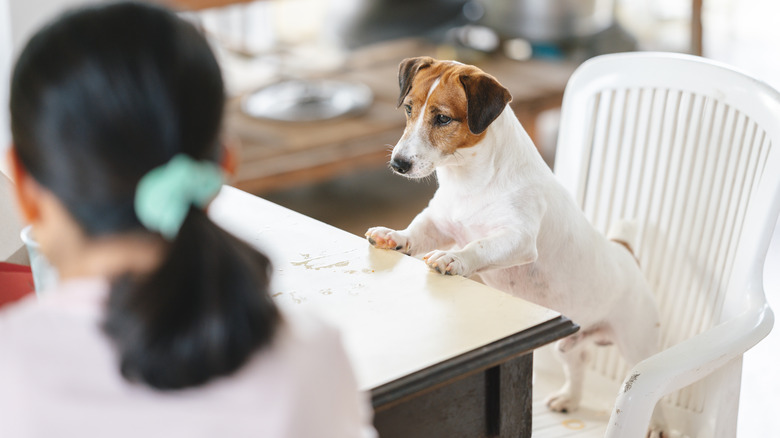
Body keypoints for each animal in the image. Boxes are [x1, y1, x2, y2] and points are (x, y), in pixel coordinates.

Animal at [368, 56, 660, 432]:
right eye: (408, 108)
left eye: (443, 118)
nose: (398, 164)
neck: (469, 180)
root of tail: (626, 253)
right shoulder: (438, 221)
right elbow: (416, 231)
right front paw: (395, 236)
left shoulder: (518, 239)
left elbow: (478, 246)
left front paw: (453, 258)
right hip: (568, 344)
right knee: (578, 362)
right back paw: (569, 398)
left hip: (637, 345)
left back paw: (656, 423)